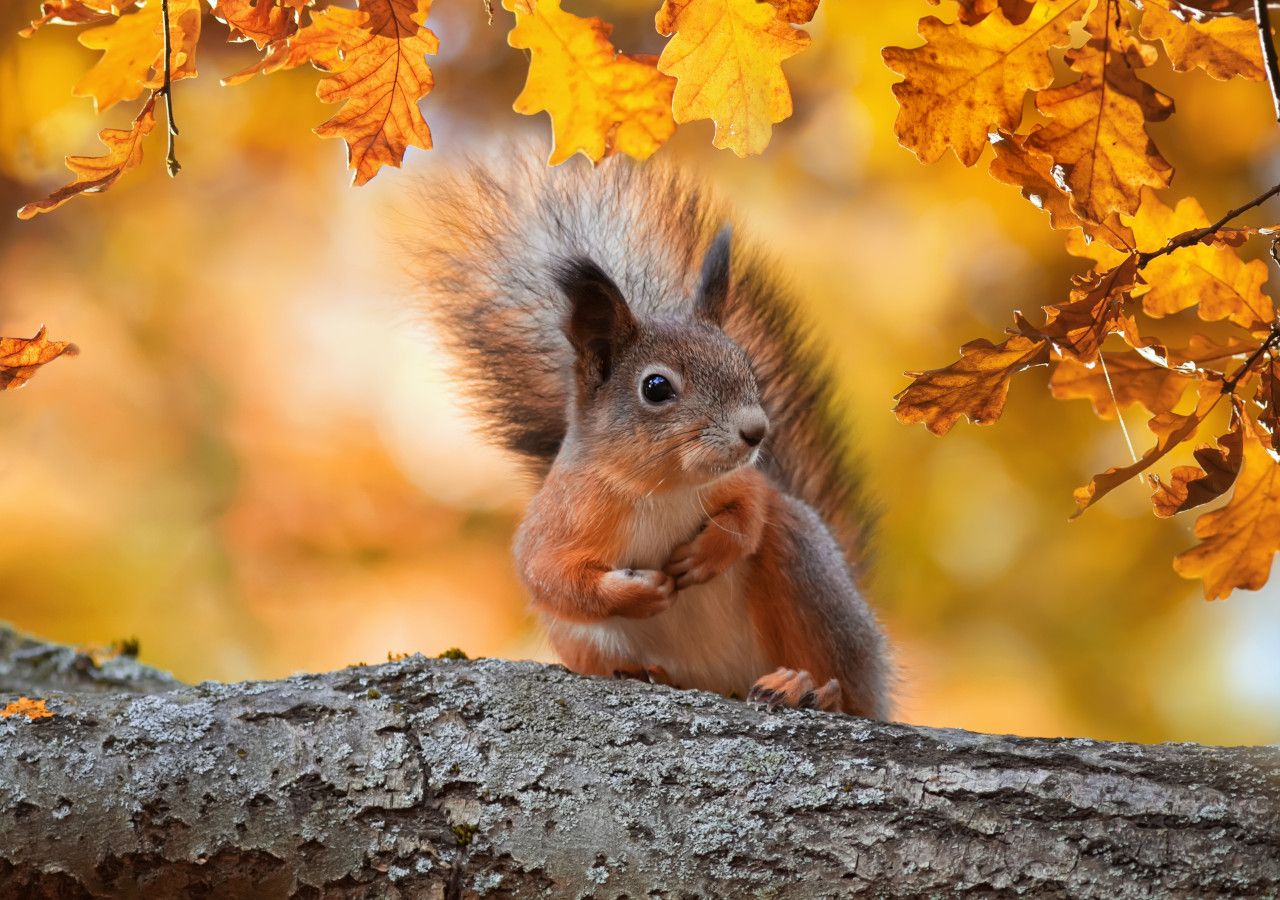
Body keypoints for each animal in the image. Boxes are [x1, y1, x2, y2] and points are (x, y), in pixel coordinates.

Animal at [417, 152, 890, 716]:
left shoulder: (743, 481)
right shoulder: (556, 524)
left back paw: (811, 688)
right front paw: (640, 593)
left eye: (745, 364)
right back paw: (650, 674)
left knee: (844, 679)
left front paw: (710, 550)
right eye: (656, 387)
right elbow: (552, 580)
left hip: (808, 573)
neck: (661, 489)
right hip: (584, 641)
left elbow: (753, 507)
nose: (756, 432)